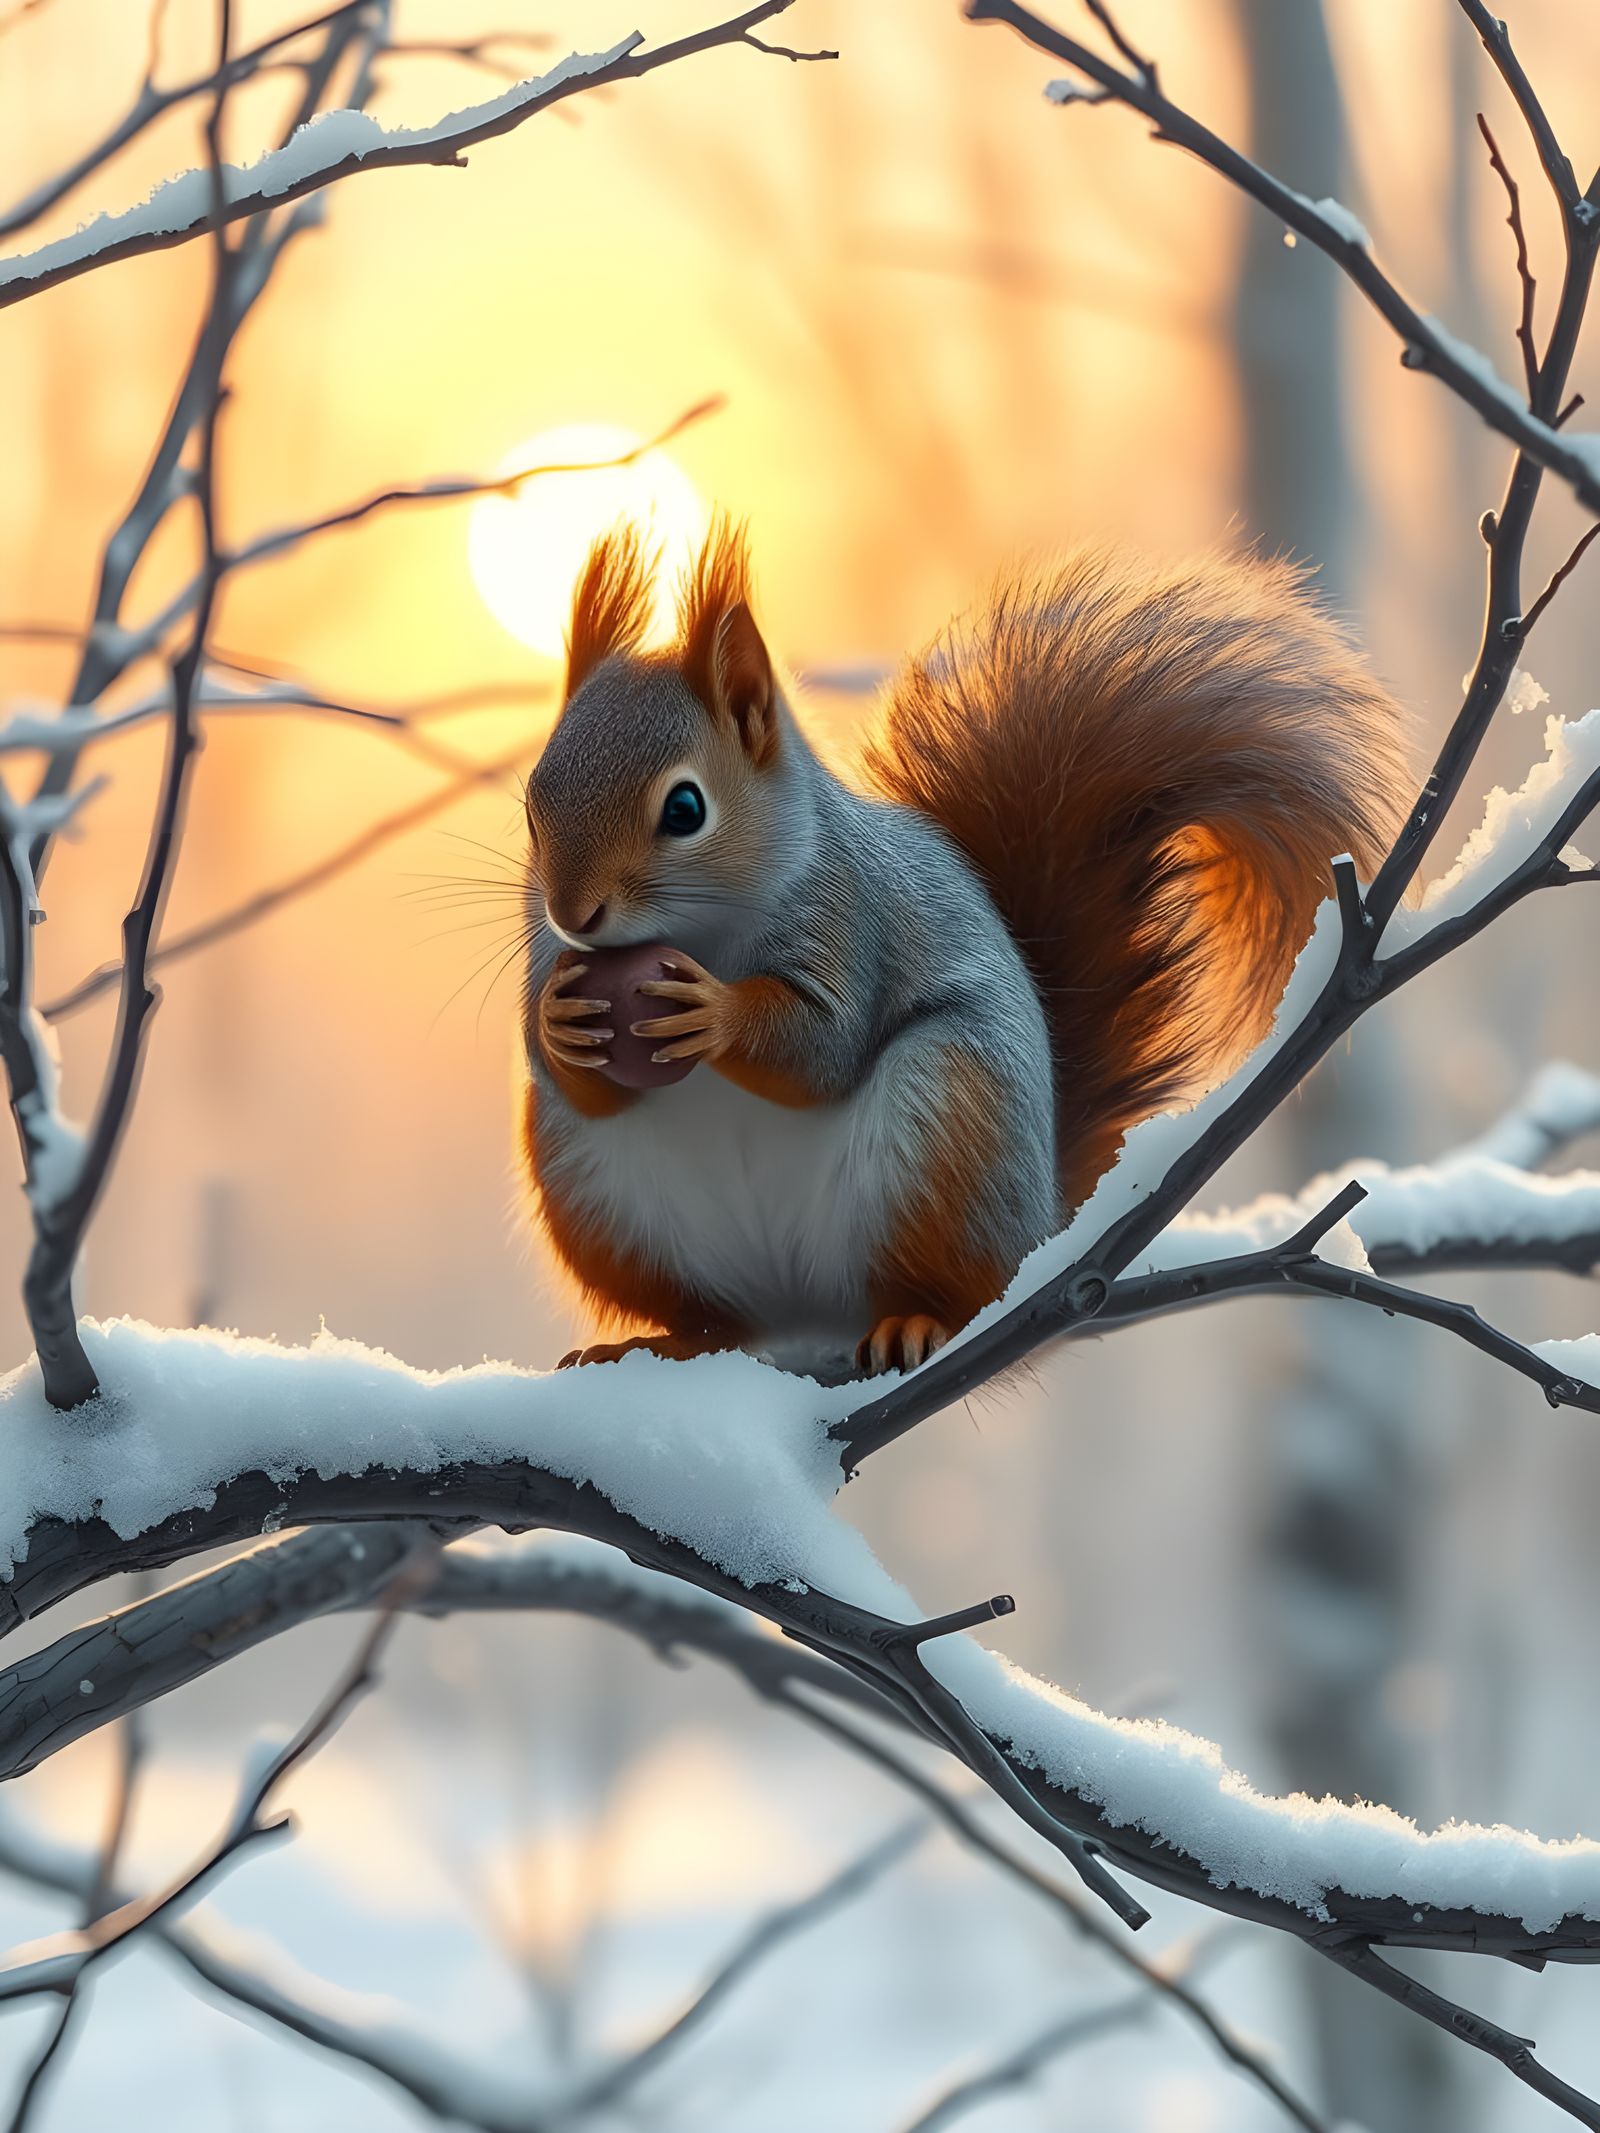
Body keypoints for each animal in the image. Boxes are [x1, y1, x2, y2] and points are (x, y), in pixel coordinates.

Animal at [518, 519, 1410, 1376]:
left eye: (686, 809)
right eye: (533, 800)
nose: (573, 913)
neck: (698, 929)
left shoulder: (852, 917)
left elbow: (823, 1047)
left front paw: (715, 1011)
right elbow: (574, 1076)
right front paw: (559, 1021)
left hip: (949, 1121)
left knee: (949, 1285)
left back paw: (915, 1323)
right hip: (603, 1201)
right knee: (723, 1322)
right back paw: (662, 1345)